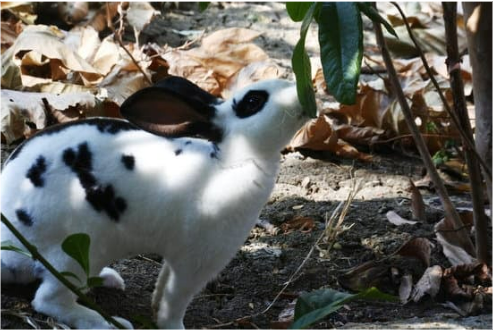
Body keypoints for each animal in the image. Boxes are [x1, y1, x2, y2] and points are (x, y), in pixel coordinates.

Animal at [0, 76, 308, 328]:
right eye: (254, 101)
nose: (306, 93)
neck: (231, 161)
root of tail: (8, 247)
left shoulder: (176, 255)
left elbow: (163, 286)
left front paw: (154, 306)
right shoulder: (196, 261)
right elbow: (176, 299)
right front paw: (172, 326)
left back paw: (109, 280)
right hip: (77, 251)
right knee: (49, 300)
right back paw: (107, 323)